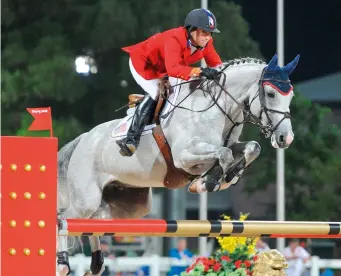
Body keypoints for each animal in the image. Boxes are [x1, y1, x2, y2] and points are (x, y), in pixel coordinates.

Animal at [55, 52, 298, 274]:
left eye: (291, 96)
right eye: (270, 93)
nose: (286, 138)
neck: (216, 108)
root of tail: (82, 140)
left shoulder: (231, 144)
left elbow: (250, 148)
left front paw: (228, 176)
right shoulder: (185, 156)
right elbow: (225, 154)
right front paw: (208, 182)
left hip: (132, 204)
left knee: (97, 219)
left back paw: (97, 262)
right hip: (86, 198)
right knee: (64, 219)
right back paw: (63, 263)